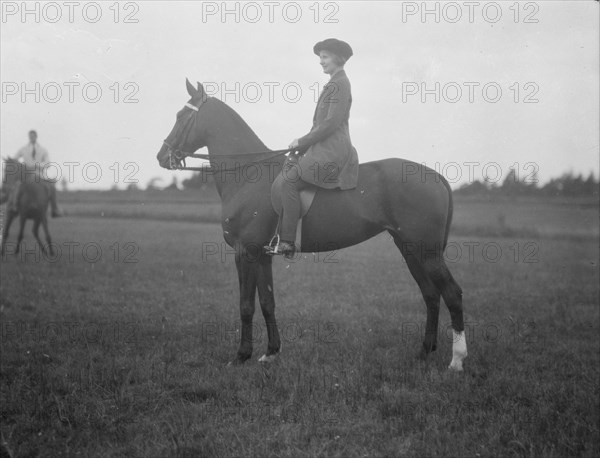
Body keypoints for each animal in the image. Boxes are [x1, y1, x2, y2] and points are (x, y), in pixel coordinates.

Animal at [156, 78, 468, 372]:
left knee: (452, 293)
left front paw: (241, 356)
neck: (248, 174)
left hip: (427, 253)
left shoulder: (245, 252)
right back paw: (423, 352)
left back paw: (456, 360)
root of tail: (436, 177)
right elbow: (267, 302)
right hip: (410, 250)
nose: (161, 156)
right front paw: (270, 353)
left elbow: (246, 305)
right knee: (431, 295)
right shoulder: (262, 256)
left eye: (181, 115)